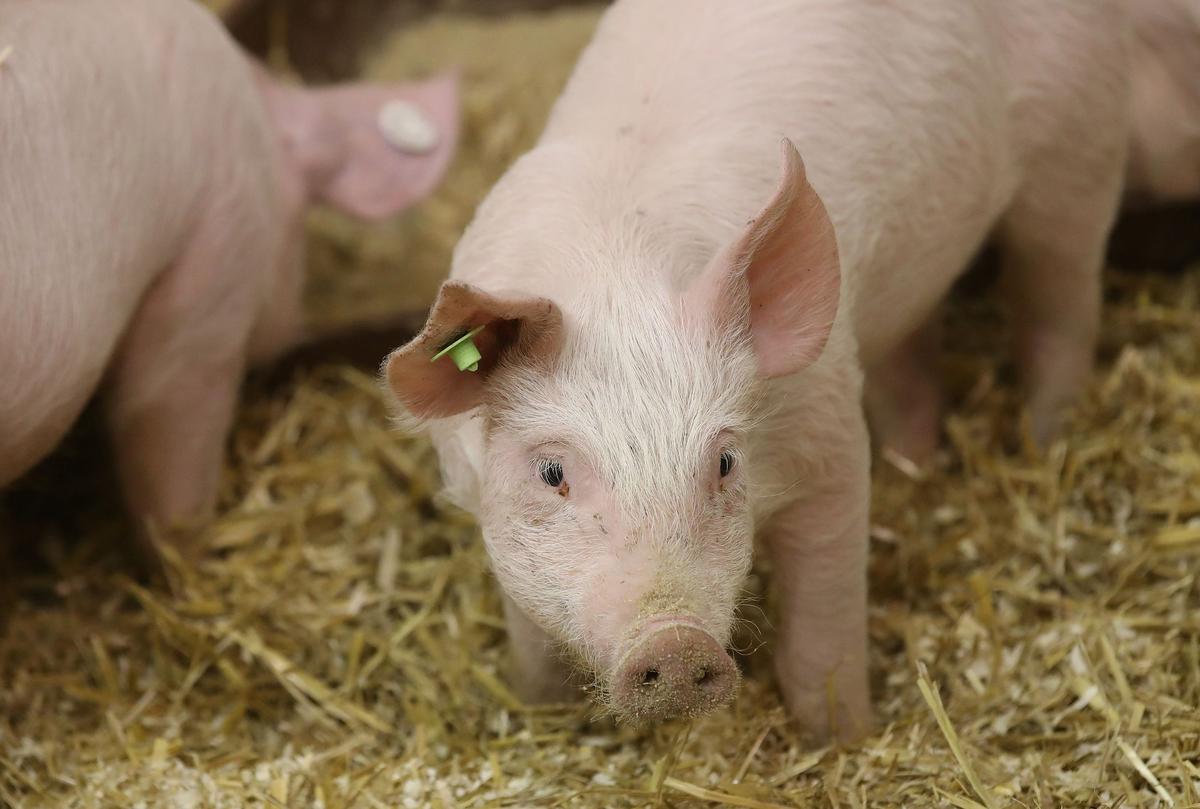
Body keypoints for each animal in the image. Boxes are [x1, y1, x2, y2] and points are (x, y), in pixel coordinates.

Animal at [385, 0, 1129, 741]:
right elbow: (531, 638)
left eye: (725, 462)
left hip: (1076, 147)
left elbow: (824, 617)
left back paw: (1042, 440)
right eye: (550, 472)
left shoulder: (826, 429)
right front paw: (542, 710)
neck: (613, 271)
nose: (675, 642)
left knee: (1060, 303)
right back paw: (913, 464)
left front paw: (843, 738)